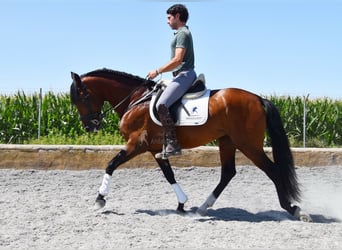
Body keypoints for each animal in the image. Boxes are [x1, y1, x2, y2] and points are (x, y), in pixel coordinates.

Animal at [71, 67, 312, 222]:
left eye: (82, 97)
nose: (90, 126)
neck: (136, 100)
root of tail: (258, 98)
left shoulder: (136, 144)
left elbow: (111, 164)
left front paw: (100, 199)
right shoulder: (155, 150)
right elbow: (169, 175)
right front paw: (181, 204)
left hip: (248, 145)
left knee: (273, 171)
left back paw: (293, 210)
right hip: (227, 141)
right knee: (228, 172)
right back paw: (203, 207)